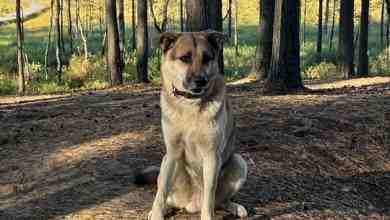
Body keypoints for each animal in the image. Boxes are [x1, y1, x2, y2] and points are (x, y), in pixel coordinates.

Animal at [145, 30, 248, 220]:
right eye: (185, 58)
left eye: (207, 58)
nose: (201, 81)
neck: (190, 104)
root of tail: (192, 205)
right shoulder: (172, 153)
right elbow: (161, 192)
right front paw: (156, 213)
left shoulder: (212, 157)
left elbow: (209, 195)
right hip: (167, 163)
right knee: (167, 194)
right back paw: (164, 208)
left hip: (239, 162)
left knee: (220, 201)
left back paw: (235, 207)